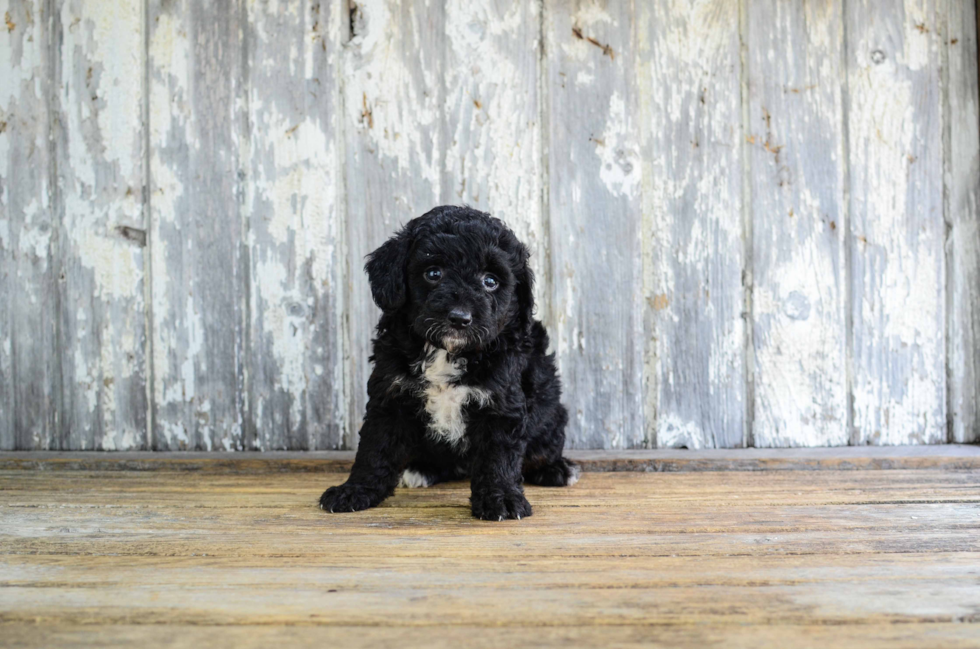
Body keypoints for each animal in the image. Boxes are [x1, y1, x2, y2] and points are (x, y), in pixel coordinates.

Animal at [318, 205, 580, 520]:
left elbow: (498, 457)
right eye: (433, 273)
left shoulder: (500, 402)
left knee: (543, 445)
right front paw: (354, 490)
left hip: (549, 410)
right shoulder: (390, 394)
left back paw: (556, 469)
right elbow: (374, 449)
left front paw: (501, 498)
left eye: (490, 281)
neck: (448, 351)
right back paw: (421, 470)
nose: (459, 318)